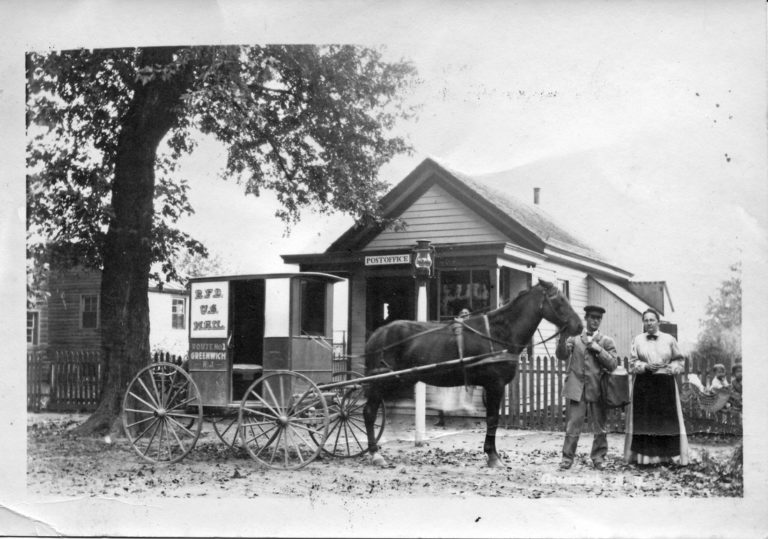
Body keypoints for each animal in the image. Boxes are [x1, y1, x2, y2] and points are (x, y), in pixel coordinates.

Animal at [364, 280, 580, 466]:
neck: (499, 333)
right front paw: (492, 456)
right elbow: (492, 419)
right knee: (369, 412)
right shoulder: (495, 385)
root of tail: (377, 334)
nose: (579, 325)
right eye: (559, 300)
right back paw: (375, 454)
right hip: (381, 382)